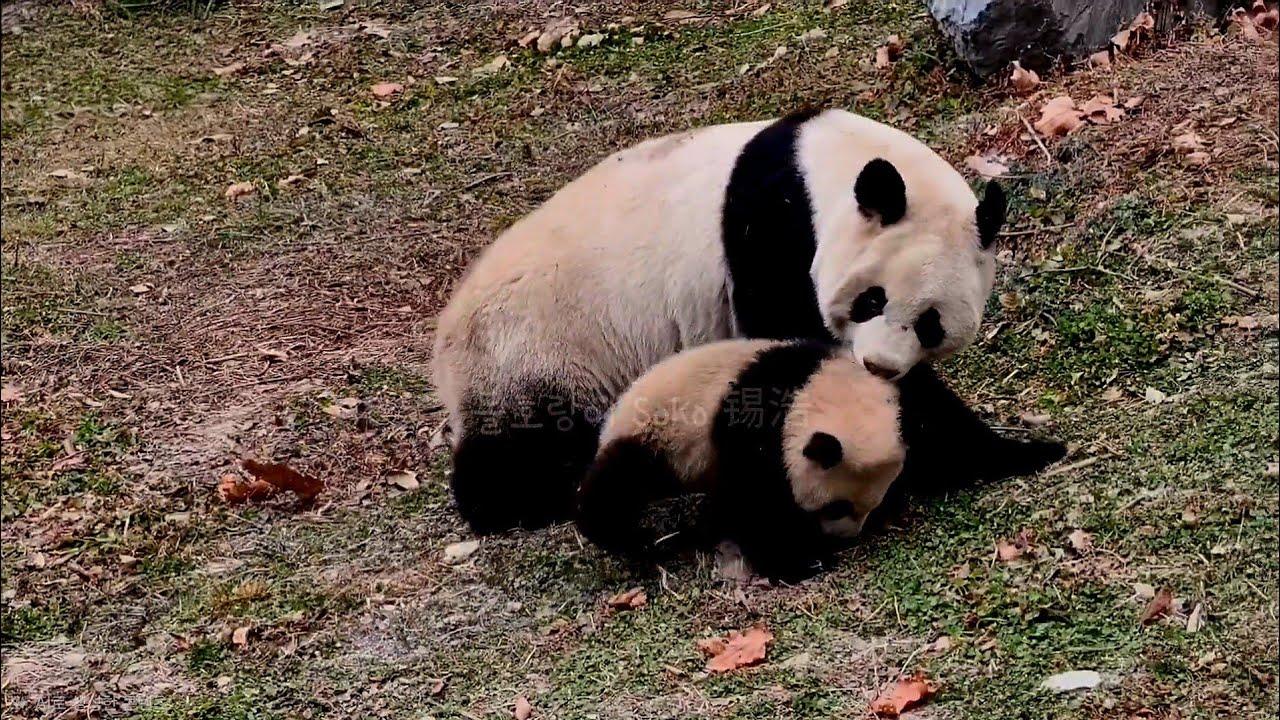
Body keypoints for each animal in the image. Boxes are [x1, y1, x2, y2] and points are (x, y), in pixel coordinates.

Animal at [432, 106, 1066, 534]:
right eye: (872, 300)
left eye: (931, 323)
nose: (881, 366)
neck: (821, 163)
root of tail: (443, 339)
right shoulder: (770, 232)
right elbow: (794, 341)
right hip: (534, 348)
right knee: (524, 443)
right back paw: (519, 495)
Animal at [575, 339, 907, 583]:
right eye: (838, 507)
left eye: (871, 504)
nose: (845, 538)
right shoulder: (746, 430)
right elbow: (753, 500)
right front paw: (801, 559)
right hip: (652, 435)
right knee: (615, 485)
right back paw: (633, 540)